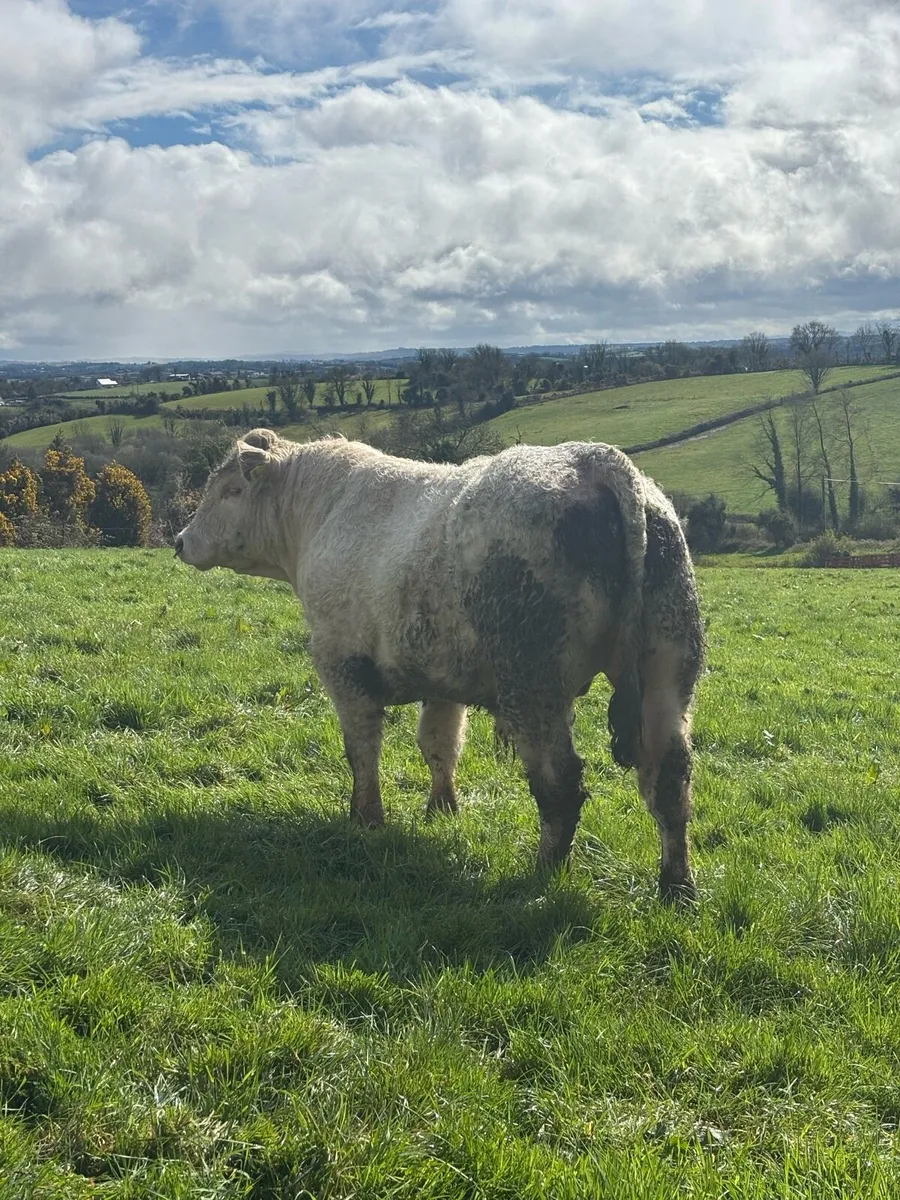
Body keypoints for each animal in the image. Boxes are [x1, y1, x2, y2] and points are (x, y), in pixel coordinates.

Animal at [175, 429, 705, 902]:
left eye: (230, 490)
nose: (180, 541)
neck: (321, 513)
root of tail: (594, 458)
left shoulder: (341, 663)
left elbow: (361, 750)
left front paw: (366, 819)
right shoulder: (443, 682)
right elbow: (439, 744)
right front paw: (442, 810)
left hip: (533, 684)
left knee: (561, 785)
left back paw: (542, 875)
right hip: (668, 669)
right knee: (669, 778)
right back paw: (676, 886)